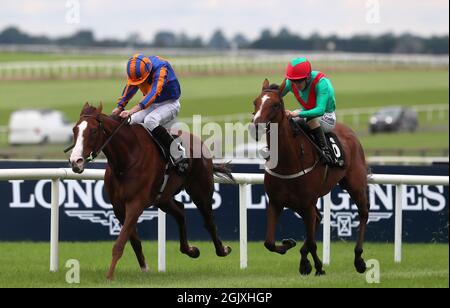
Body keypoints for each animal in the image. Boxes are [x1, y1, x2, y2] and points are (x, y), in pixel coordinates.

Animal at [69, 103, 236, 280]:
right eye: (74, 129)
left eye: (93, 131)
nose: (75, 161)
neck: (127, 159)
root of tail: (200, 142)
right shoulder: (118, 207)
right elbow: (133, 240)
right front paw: (144, 269)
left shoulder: (135, 204)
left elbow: (120, 243)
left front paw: (109, 276)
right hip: (162, 198)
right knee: (180, 211)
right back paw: (190, 250)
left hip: (201, 190)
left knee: (209, 221)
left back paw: (222, 250)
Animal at [253, 79, 370, 274]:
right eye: (255, 102)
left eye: (276, 104)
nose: (255, 126)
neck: (288, 161)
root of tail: (350, 132)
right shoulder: (276, 201)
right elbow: (269, 243)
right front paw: (290, 246)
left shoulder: (307, 202)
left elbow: (313, 242)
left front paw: (316, 266)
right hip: (300, 203)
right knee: (317, 218)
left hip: (354, 184)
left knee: (363, 212)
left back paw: (359, 258)